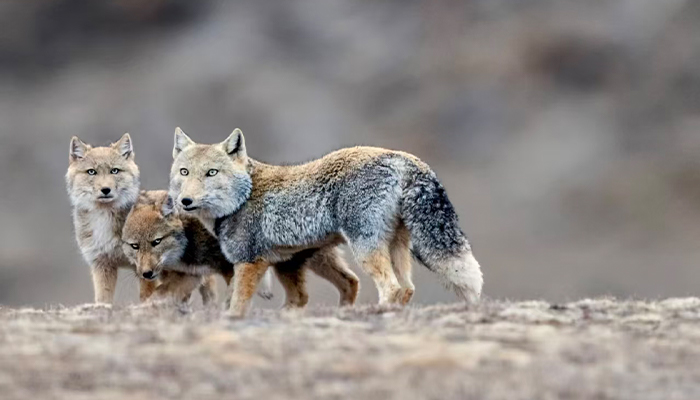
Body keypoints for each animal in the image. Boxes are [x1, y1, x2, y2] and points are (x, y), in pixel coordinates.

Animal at [121, 190, 360, 308]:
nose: (146, 273)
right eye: (135, 246)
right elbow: (155, 297)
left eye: (156, 242)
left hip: (289, 266)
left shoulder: (228, 269)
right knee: (349, 282)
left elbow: (232, 297)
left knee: (305, 295)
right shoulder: (190, 276)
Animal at [168, 127, 484, 317]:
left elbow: (236, 305)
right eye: (184, 172)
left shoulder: (249, 262)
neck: (243, 196)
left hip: (365, 248)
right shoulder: (285, 263)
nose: (185, 201)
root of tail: (403, 158)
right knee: (405, 288)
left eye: (211, 173)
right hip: (395, 247)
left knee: (391, 288)